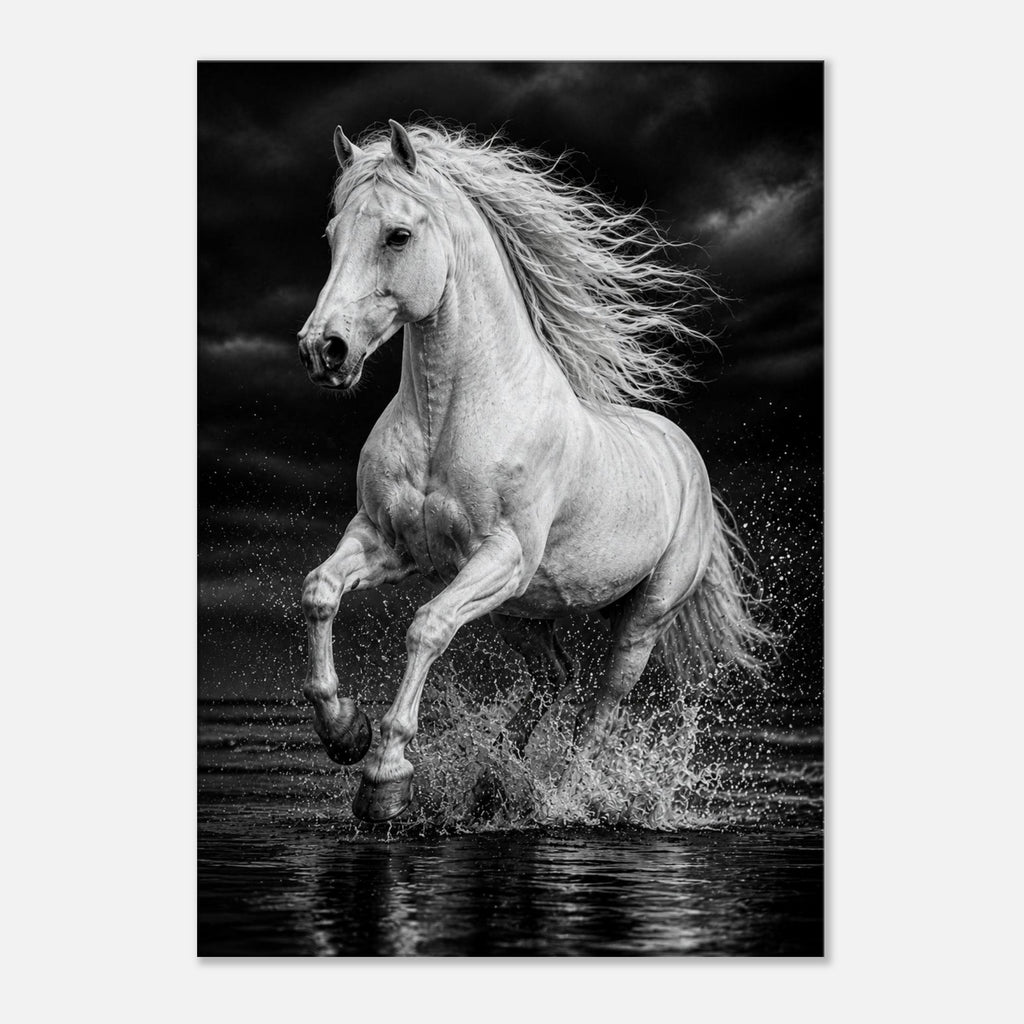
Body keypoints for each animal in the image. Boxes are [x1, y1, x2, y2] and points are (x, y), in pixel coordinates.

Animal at [296, 120, 773, 822]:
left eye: (398, 235)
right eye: (331, 237)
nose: (323, 350)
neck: (448, 418)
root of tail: (682, 452)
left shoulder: (502, 555)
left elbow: (426, 628)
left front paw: (386, 777)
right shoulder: (387, 541)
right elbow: (320, 591)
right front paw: (345, 733)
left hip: (640, 618)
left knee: (601, 709)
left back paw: (564, 793)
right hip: (519, 612)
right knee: (555, 679)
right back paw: (499, 785)